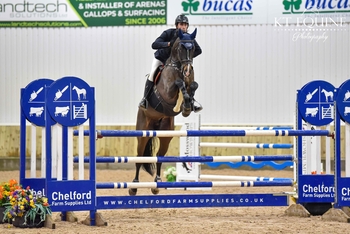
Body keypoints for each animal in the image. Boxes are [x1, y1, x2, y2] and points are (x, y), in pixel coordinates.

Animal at [129, 27, 200, 196]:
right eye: (181, 48)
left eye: (193, 49)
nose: (188, 70)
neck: (179, 67)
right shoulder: (167, 92)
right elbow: (179, 83)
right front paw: (184, 102)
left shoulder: (190, 81)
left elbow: (193, 85)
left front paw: (188, 106)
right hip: (143, 131)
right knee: (140, 156)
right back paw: (134, 186)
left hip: (165, 133)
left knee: (159, 156)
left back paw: (157, 183)